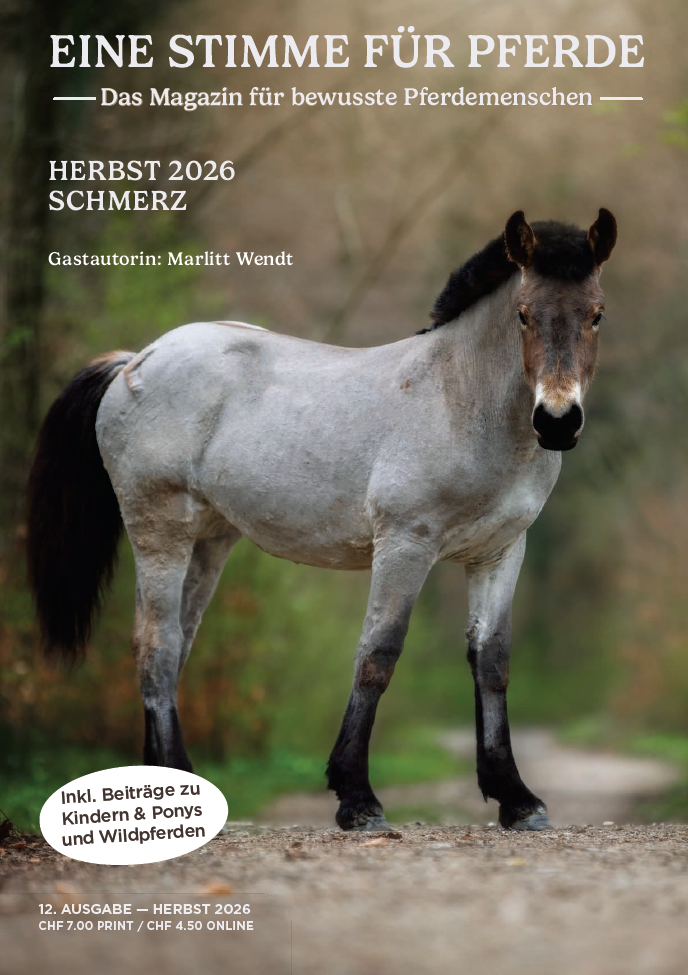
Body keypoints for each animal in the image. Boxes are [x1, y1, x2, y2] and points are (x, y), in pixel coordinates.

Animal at [27, 208, 617, 831]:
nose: (557, 421)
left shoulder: (499, 552)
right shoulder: (406, 544)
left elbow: (492, 661)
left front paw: (516, 797)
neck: (459, 399)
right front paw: (356, 797)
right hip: (160, 529)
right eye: (523, 313)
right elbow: (378, 655)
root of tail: (135, 360)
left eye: (597, 313)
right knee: (157, 644)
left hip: (209, 541)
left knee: (178, 643)